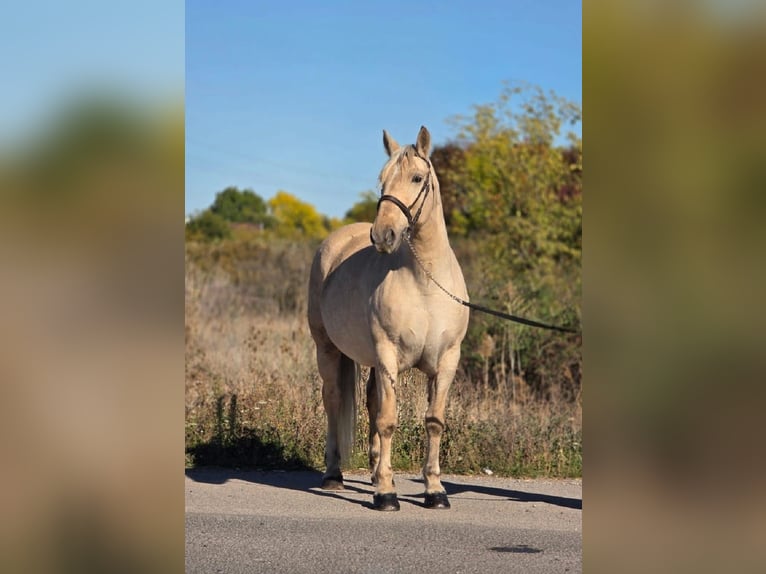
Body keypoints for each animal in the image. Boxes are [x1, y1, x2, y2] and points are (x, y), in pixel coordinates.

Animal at [307, 126, 469, 511]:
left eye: (417, 178)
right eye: (382, 180)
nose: (383, 235)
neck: (426, 281)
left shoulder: (447, 361)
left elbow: (433, 421)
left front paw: (434, 490)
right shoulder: (387, 355)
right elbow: (388, 420)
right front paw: (385, 493)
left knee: (369, 401)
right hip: (328, 351)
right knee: (333, 400)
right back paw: (334, 475)